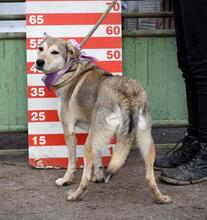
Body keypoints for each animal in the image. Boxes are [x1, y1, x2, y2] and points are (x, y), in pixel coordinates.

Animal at [35, 33, 171, 204]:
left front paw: (66, 180)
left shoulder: (70, 131)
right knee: (149, 177)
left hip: (89, 144)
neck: (71, 71)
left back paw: (74, 195)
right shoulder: (94, 132)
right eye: (40, 49)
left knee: (84, 178)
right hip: (146, 142)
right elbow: (98, 157)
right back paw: (161, 198)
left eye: (55, 52)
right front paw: (99, 176)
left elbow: (71, 162)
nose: (38, 62)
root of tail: (127, 93)